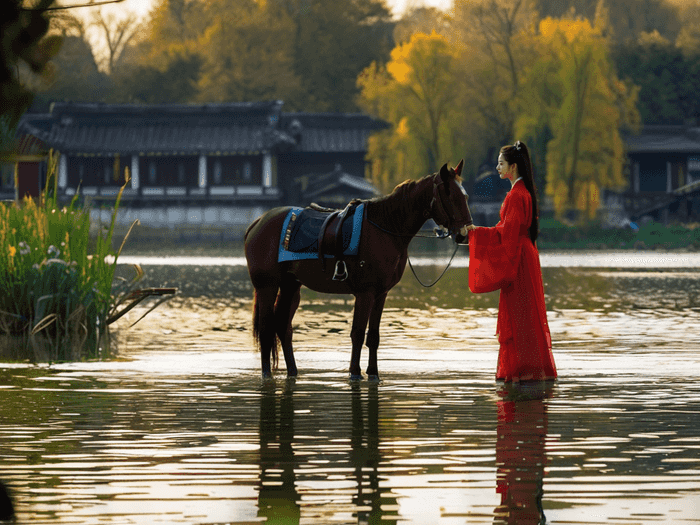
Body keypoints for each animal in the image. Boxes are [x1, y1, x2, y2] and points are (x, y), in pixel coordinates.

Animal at [243, 160, 474, 376]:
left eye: (465, 196)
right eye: (450, 195)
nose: (464, 233)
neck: (385, 228)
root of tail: (258, 221)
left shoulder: (381, 294)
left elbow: (373, 336)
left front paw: (373, 372)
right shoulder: (365, 292)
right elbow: (358, 332)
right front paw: (355, 372)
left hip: (291, 285)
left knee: (283, 326)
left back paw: (292, 371)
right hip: (267, 286)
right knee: (266, 329)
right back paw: (266, 374)